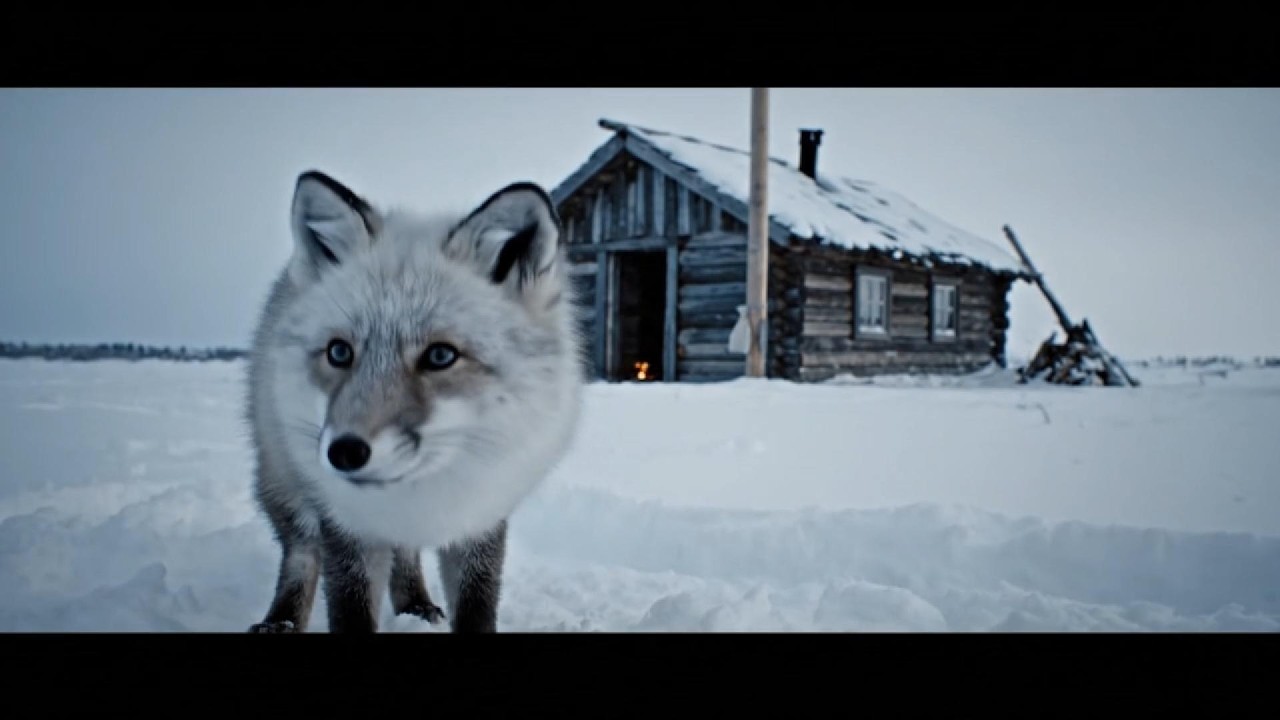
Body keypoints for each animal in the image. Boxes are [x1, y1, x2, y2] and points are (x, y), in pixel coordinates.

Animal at [244, 170, 584, 633]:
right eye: (339, 352)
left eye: (440, 356)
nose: (344, 452)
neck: (422, 495)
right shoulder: (346, 526)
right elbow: (349, 609)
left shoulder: (481, 520)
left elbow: (476, 608)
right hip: (285, 484)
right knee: (300, 555)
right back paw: (281, 621)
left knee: (404, 553)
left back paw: (415, 606)